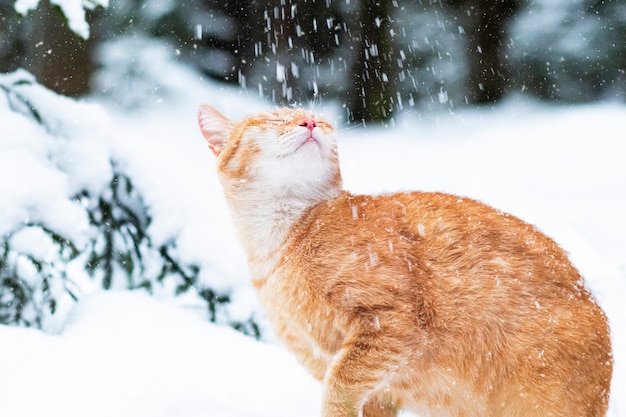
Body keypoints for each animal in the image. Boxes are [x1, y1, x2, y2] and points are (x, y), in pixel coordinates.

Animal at [199, 105, 608, 416]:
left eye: (318, 118)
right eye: (274, 118)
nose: (309, 123)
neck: (281, 242)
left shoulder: (394, 322)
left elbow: (338, 387)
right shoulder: (374, 387)